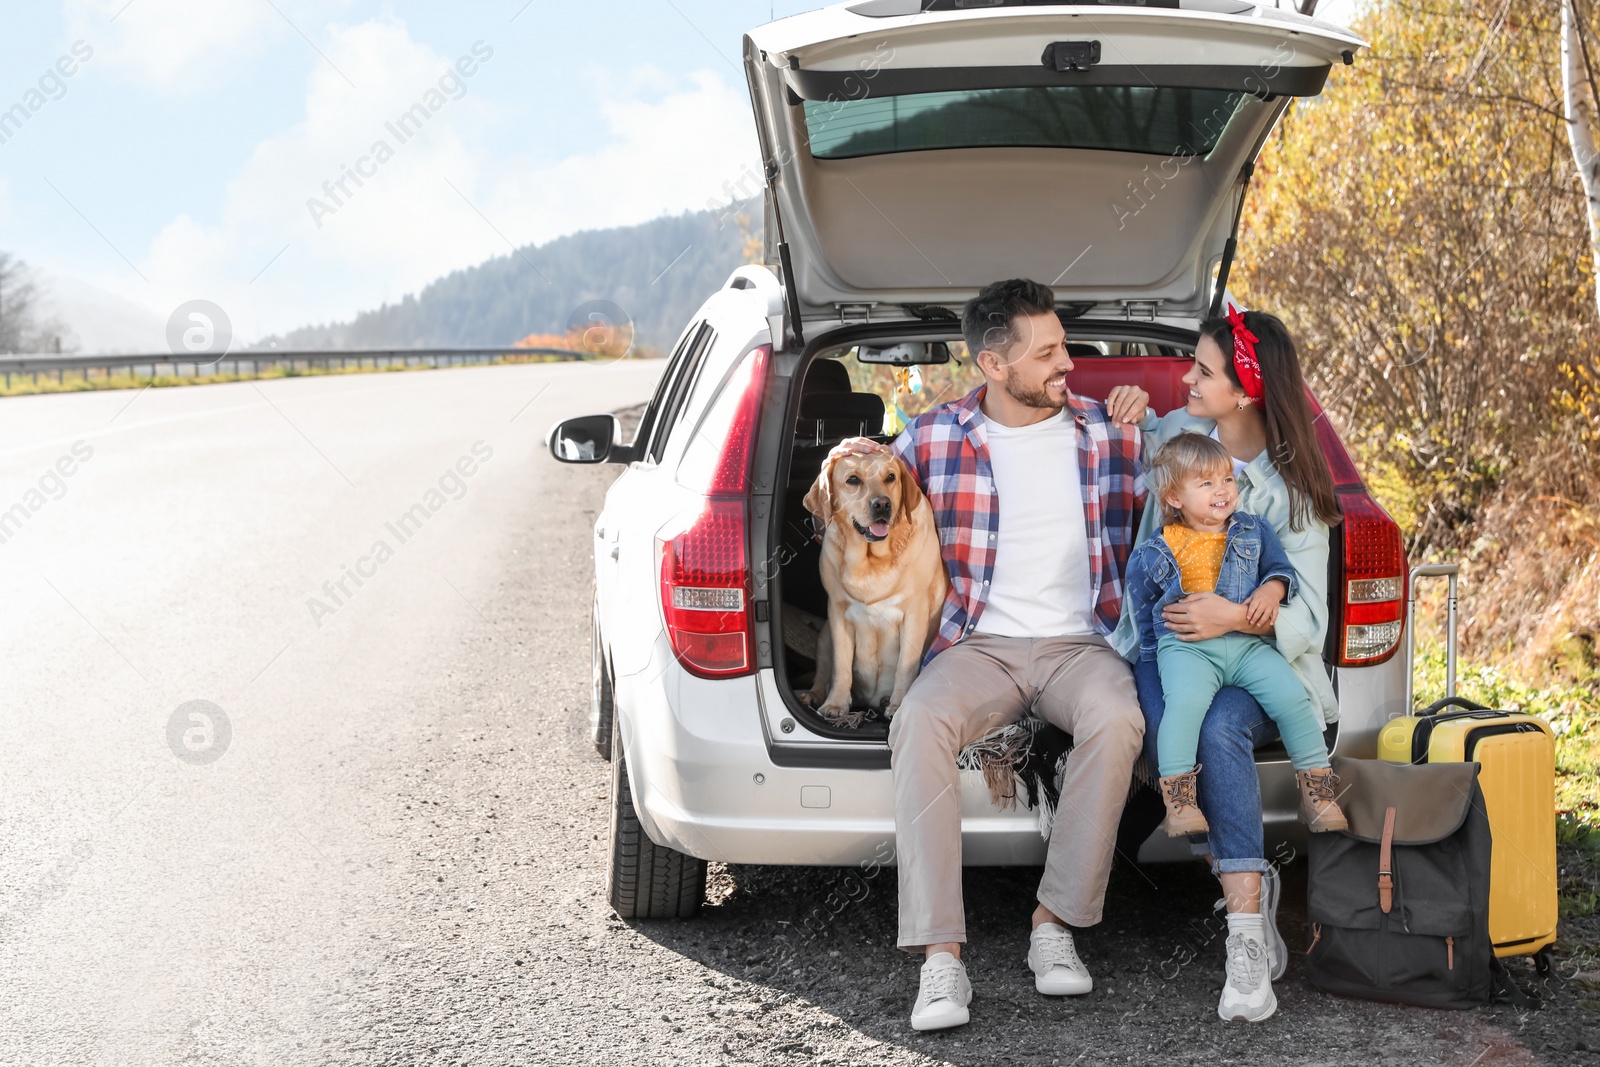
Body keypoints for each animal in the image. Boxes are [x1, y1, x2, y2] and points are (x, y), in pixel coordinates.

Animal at [806, 451, 940, 726]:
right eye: (853, 480)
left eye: (890, 477)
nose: (882, 504)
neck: (871, 561)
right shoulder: (838, 612)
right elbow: (841, 666)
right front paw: (836, 704)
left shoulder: (915, 613)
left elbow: (905, 666)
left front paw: (898, 705)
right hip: (824, 638)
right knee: (823, 674)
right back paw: (813, 695)